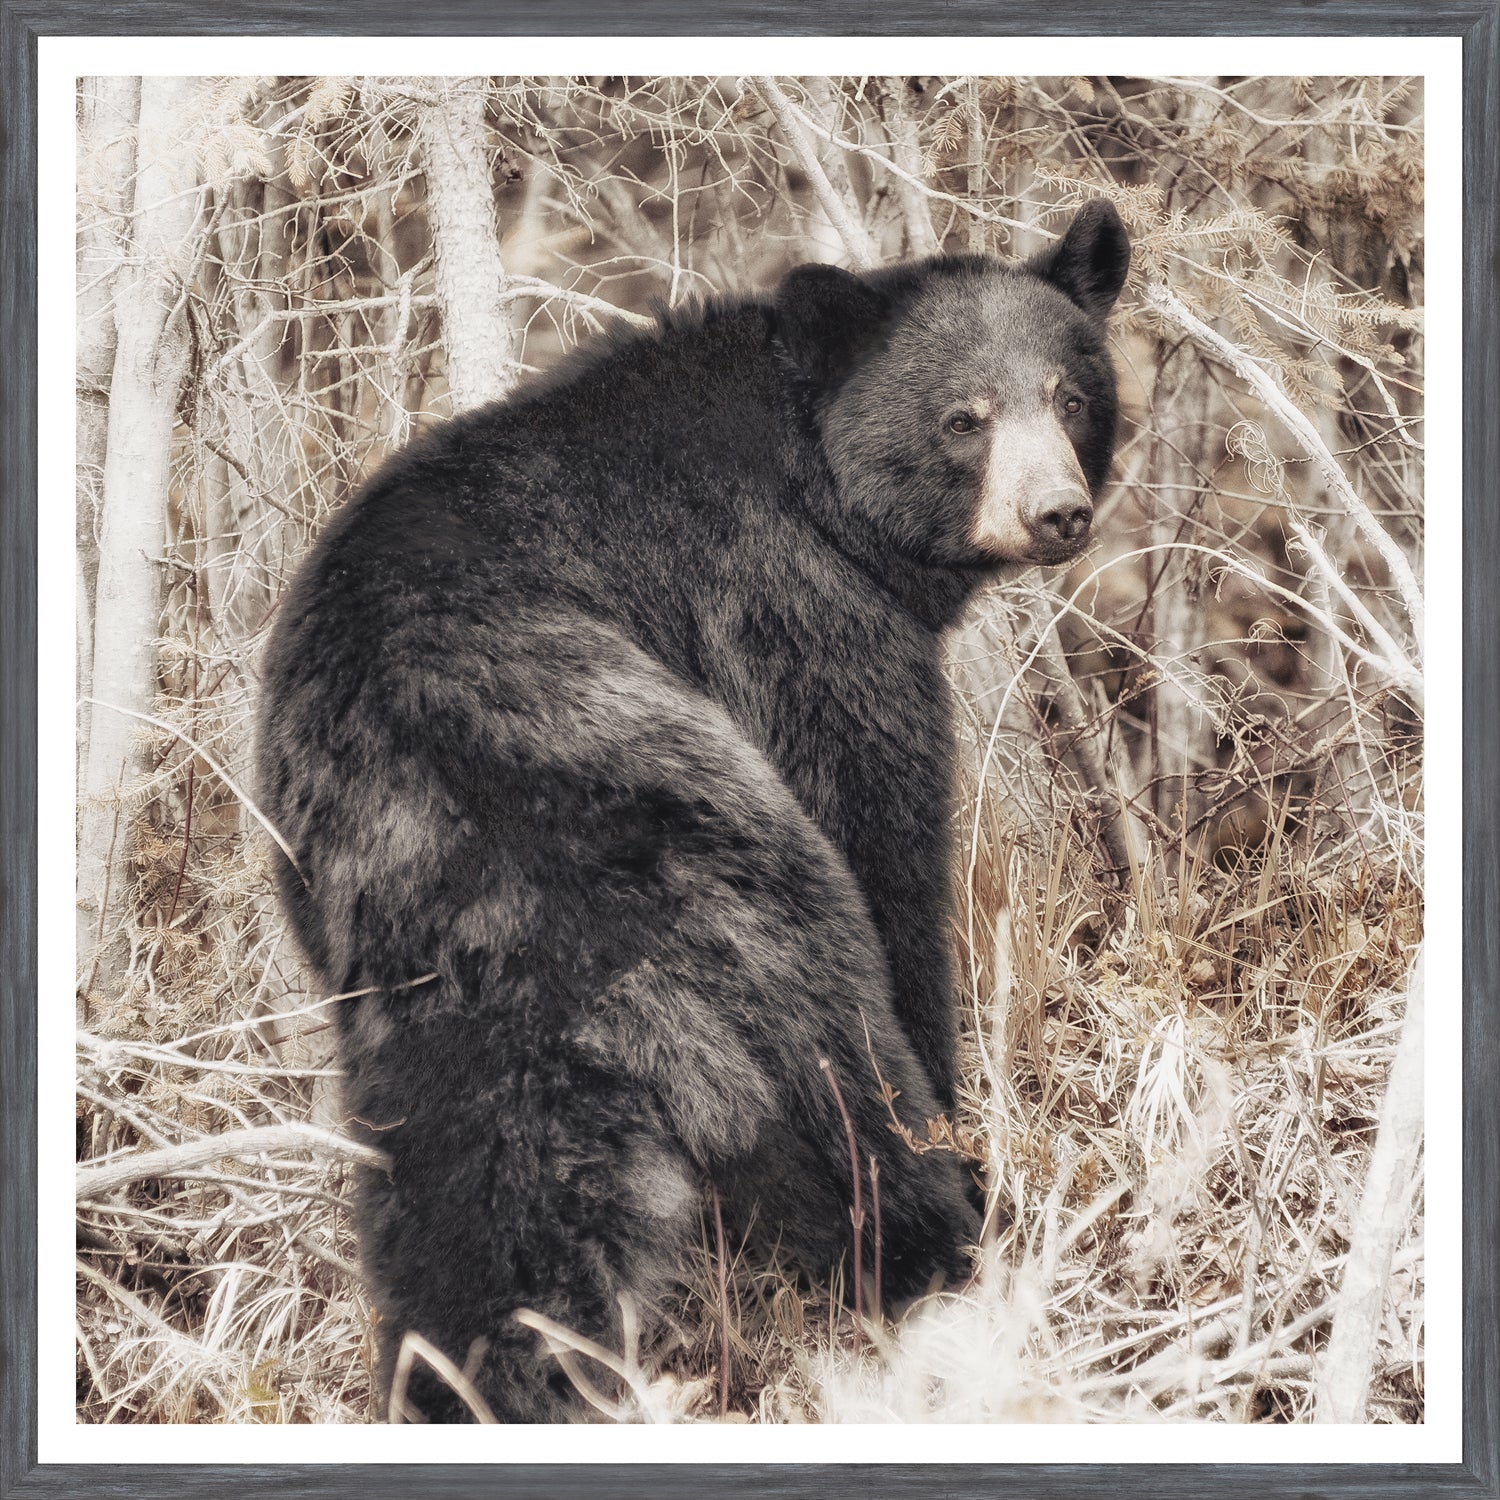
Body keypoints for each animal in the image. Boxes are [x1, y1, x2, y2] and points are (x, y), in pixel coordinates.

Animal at [255, 199, 1130, 1423]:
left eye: (1069, 395)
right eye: (965, 417)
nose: (1056, 513)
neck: (819, 479)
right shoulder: (790, 609)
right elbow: (881, 827)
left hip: (413, 980)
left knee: (475, 1197)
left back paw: (471, 1383)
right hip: (720, 870)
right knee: (827, 1066)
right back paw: (942, 1237)